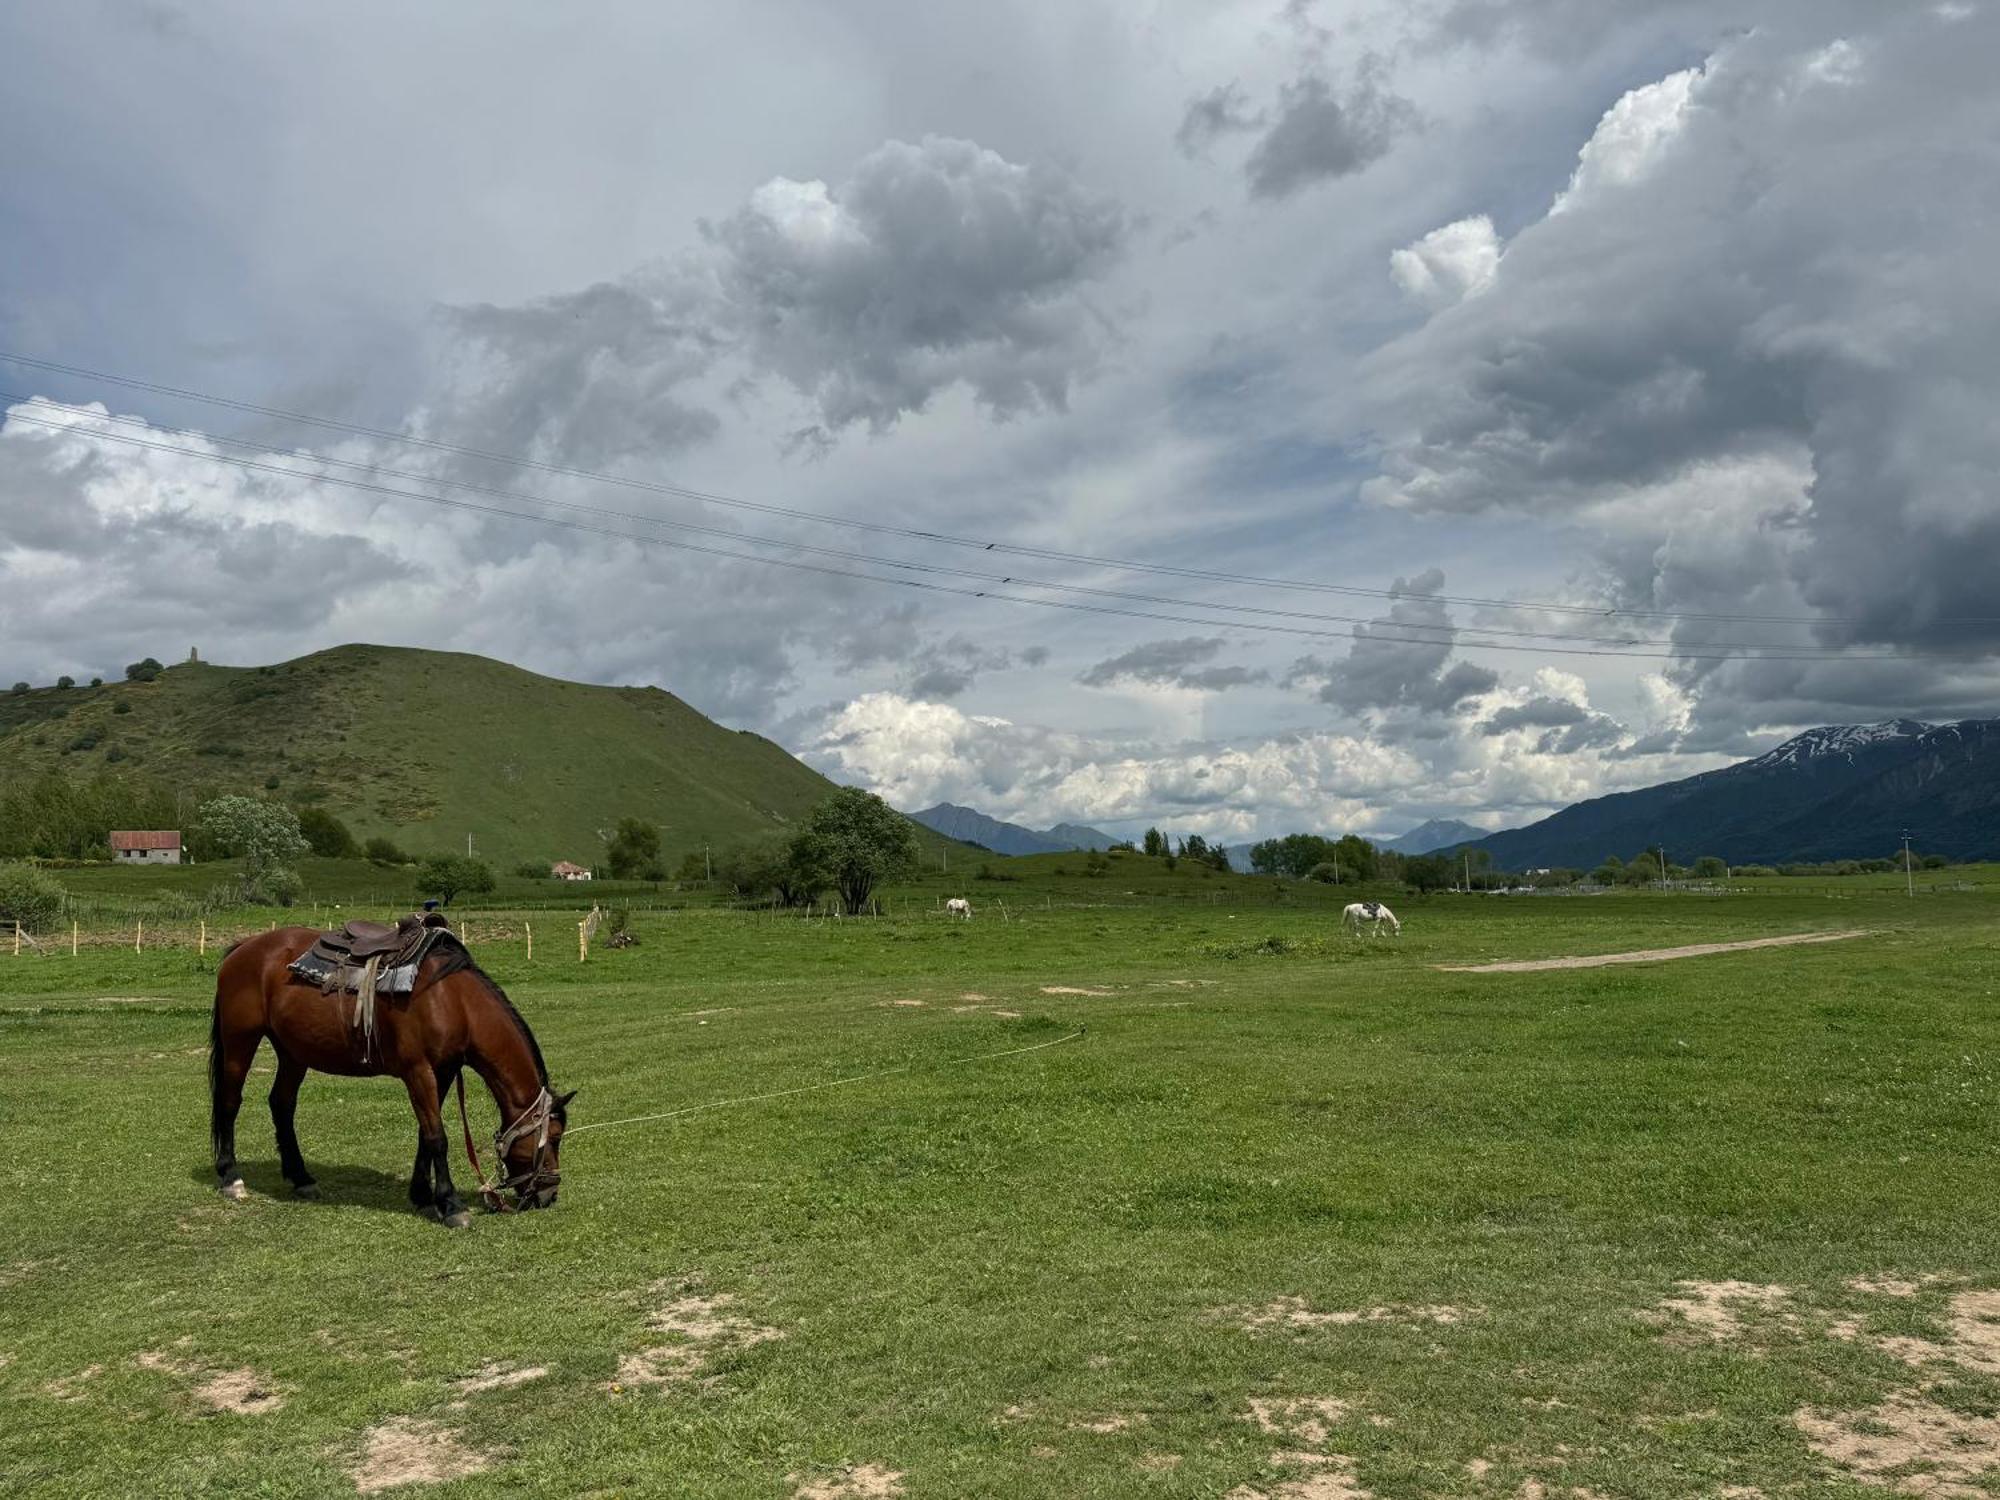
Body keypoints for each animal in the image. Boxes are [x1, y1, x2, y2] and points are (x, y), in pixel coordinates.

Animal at [209, 928, 572, 1232]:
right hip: (241, 1040)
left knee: (281, 1104)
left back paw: (301, 1178)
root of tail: (243, 948)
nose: (549, 1194)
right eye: (553, 1138)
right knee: (230, 1101)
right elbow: (438, 1137)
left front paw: (423, 1196)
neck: (453, 1000)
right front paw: (452, 1205)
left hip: (292, 1053)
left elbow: (425, 1134)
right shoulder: (418, 1071)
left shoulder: (442, 1072)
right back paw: (231, 1177)